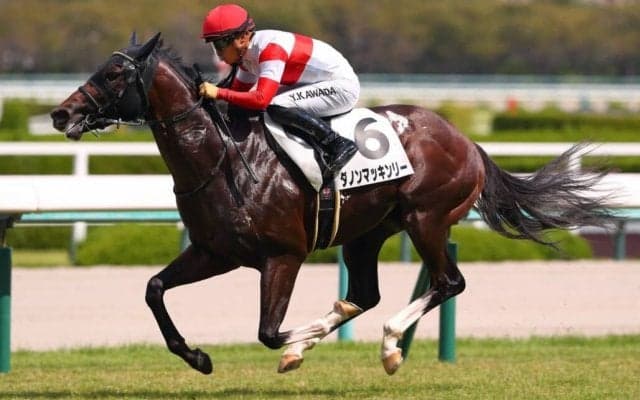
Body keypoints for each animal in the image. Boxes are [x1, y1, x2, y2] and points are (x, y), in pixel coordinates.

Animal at [50, 33, 612, 375]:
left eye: (113, 75)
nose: (61, 114)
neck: (223, 158)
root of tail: (466, 140)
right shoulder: (215, 252)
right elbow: (154, 289)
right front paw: (197, 357)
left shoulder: (283, 255)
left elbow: (269, 332)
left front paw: (297, 346)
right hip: (368, 233)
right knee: (365, 293)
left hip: (427, 219)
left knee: (448, 282)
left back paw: (389, 346)